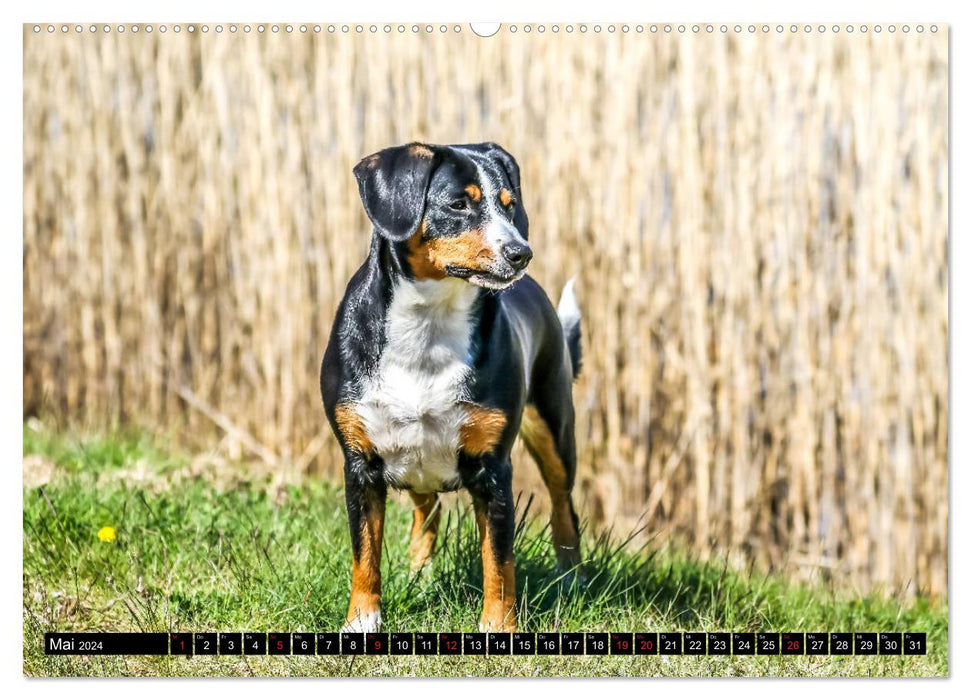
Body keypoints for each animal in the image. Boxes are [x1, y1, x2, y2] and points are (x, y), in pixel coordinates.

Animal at [318, 142, 580, 636]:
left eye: (508, 205)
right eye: (459, 204)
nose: (520, 252)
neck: (428, 326)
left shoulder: (494, 470)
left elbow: (499, 562)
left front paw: (499, 628)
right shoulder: (360, 464)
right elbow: (365, 553)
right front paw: (362, 621)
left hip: (554, 428)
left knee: (563, 504)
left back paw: (572, 575)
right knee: (428, 510)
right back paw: (420, 573)